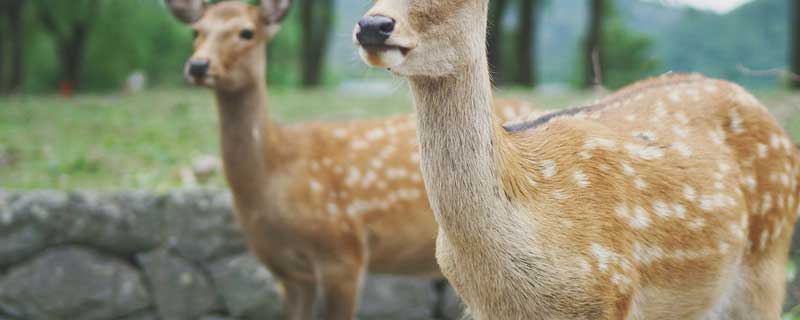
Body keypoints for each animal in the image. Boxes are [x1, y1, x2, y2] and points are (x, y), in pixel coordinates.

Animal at [161, 1, 536, 318]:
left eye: (246, 32)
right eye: (196, 31)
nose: (198, 66)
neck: (274, 174)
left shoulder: (342, 250)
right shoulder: (288, 272)